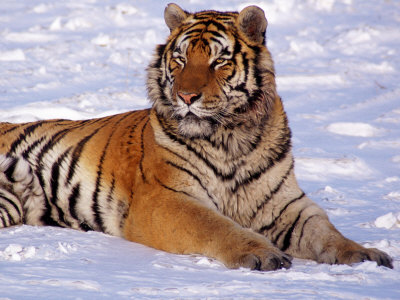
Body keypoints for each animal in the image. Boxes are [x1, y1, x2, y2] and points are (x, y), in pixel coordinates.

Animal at [0, 2, 394, 270]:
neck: (231, 138)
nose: (187, 97)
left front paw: (366, 255)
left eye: (219, 61)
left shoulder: (286, 204)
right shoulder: (166, 199)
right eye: (180, 59)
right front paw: (262, 254)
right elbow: (216, 227)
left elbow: (325, 232)